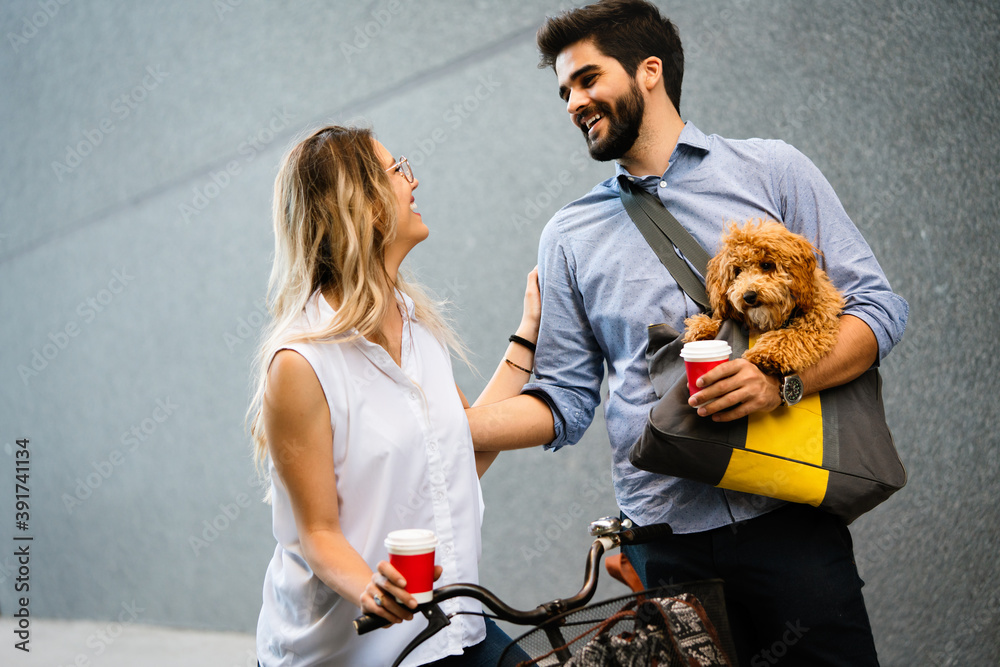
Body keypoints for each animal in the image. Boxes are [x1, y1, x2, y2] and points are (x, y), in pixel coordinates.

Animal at [684, 219, 840, 376]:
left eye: (766, 265)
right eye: (737, 271)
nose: (748, 296)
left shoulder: (819, 320)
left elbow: (794, 334)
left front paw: (766, 353)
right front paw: (703, 328)